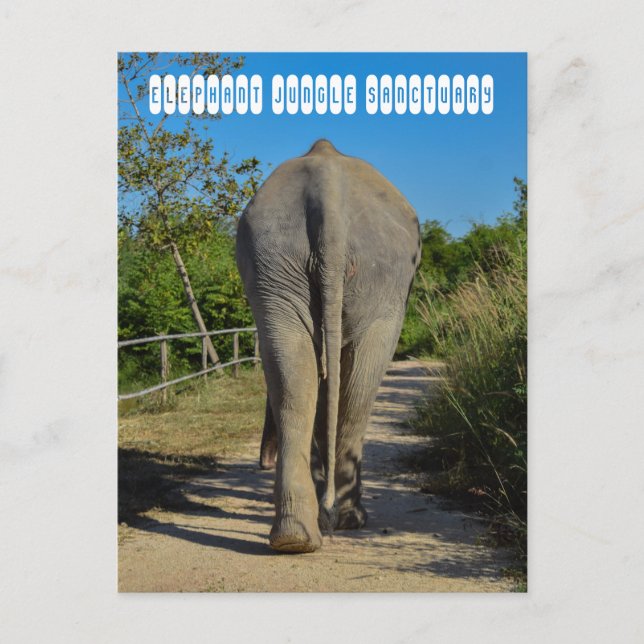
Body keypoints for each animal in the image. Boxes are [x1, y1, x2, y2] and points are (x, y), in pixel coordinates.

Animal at [236, 139, 420, 553]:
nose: (262, 462)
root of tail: (328, 199)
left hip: (276, 259)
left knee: (294, 376)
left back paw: (296, 537)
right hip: (373, 278)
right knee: (357, 388)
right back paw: (343, 520)